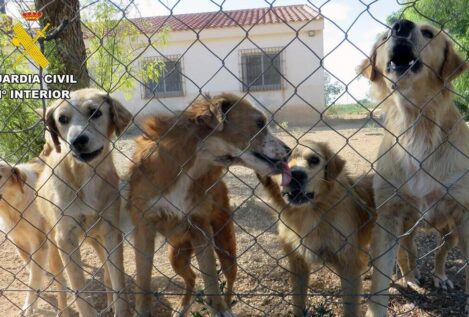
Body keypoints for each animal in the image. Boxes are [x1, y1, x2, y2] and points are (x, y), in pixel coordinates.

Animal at [35, 87, 132, 314]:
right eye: (62, 119)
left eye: (94, 112)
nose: (77, 141)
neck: (86, 175)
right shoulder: (65, 239)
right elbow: (79, 289)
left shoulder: (112, 231)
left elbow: (118, 281)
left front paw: (119, 307)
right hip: (54, 249)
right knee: (61, 285)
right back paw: (62, 311)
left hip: (98, 239)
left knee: (106, 271)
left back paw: (109, 302)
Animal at [127, 92, 288, 314]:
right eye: (259, 123)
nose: (290, 150)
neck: (190, 166)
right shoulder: (144, 228)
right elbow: (143, 282)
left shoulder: (200, 228)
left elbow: (211, 278)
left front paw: (219, 310)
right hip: (176, 255)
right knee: (192, 278)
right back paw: (182, 308)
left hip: (225, 246)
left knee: (228, 281)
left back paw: (226, 307)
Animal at [254, 141, 374, 316]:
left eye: (314, 160)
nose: (296, 175)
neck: (309, 215)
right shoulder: (297, 264)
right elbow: (298, 302)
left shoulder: (349, 266)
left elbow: (350, 309)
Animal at [356, 19, 466, 316]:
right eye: (384, 36)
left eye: (428, 33)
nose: (400, 25)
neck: (416, 124)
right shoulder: (389, 216)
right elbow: (380, 279)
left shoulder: (465, 214)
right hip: (407, 227)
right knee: (410, 252)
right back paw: (411, 276)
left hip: (450, 230)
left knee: (440, 252)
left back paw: (439, 277)